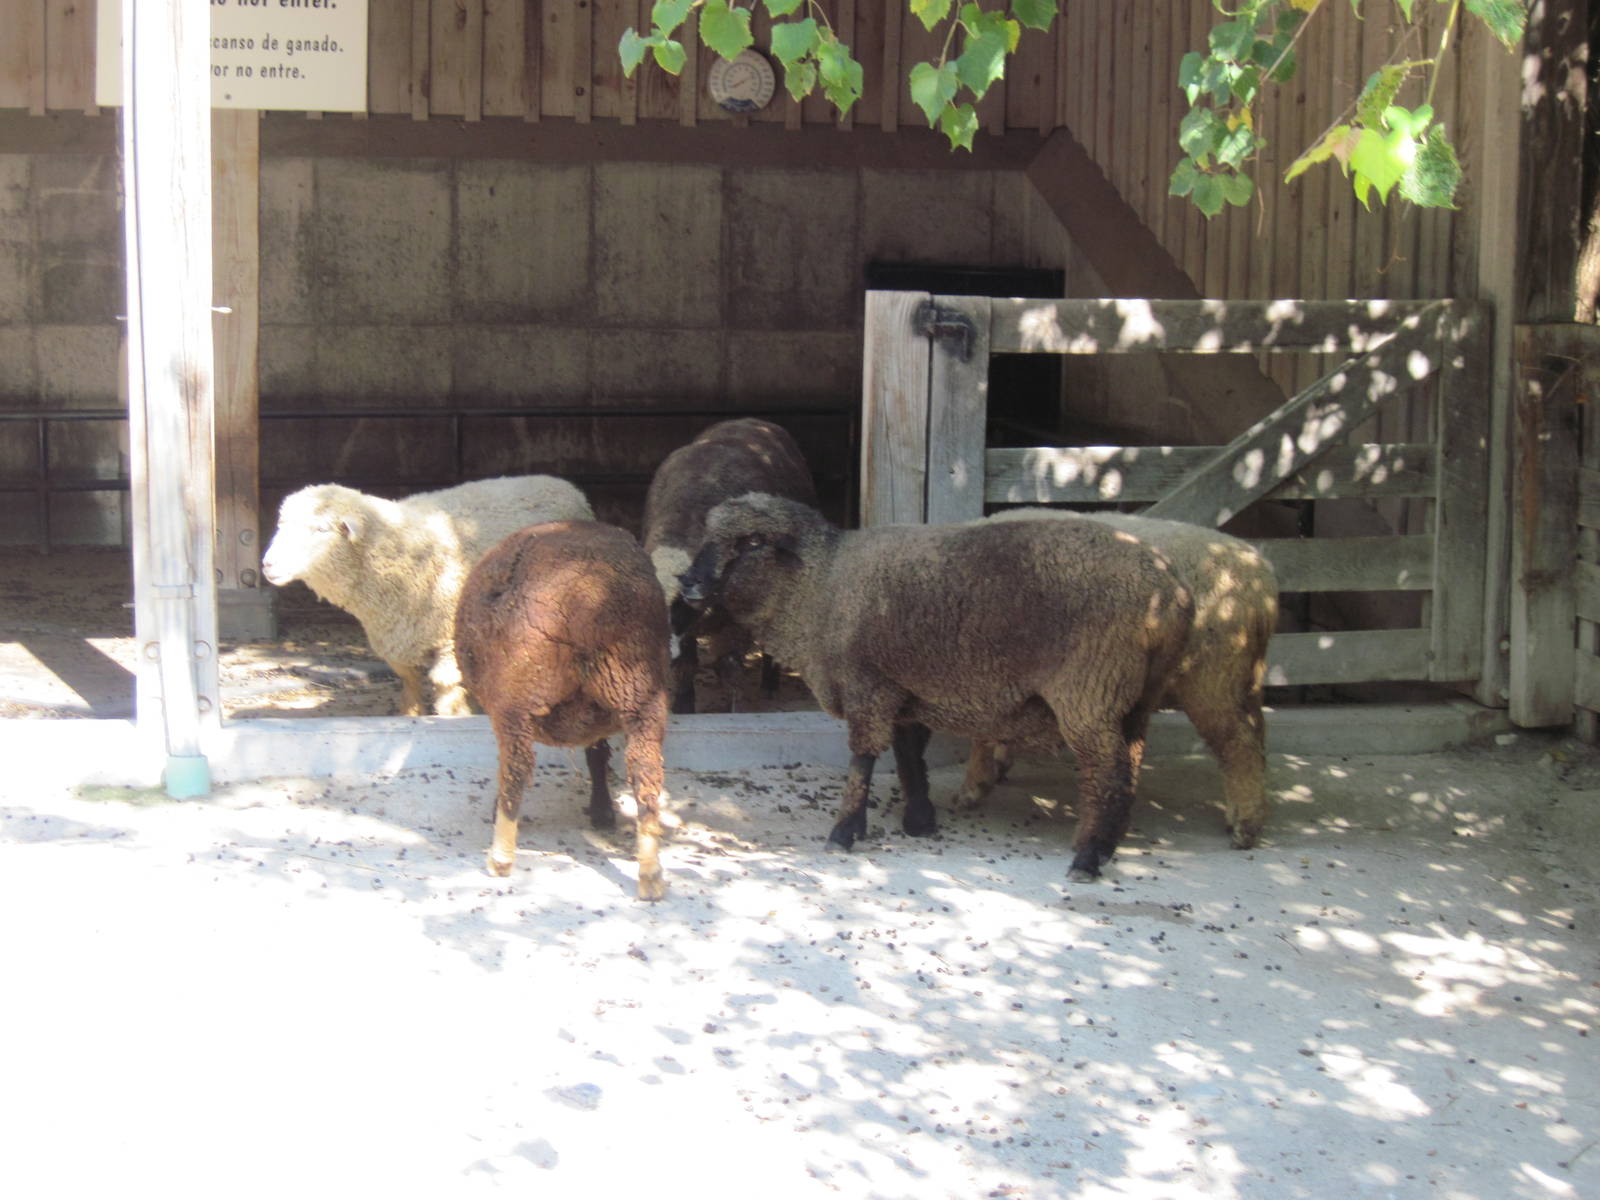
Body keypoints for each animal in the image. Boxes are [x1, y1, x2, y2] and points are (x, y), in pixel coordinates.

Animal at [261, 475, 593, 717]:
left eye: (320, 529)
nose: (267, 564)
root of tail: (565, 485)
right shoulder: (397, 637)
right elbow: (409, 680)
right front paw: (410, 714)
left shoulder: (447, 639)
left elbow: (445, 685)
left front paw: (454, 715)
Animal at [454, 519, 672, 901]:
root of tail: (590, 598)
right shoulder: (597, 719)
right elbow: (597, 756)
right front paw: (602, 811)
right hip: (640, 690)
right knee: (645, 771)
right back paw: (650, 875)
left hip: (517, 695)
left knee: (515, 768)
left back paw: (500, 856)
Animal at [642, 418, 819, 713]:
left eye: (677, 606)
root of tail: (753, 421)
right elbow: (688, 663)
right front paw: (683, 705)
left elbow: (731, 664)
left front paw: (734, 708)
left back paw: (769, 683)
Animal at [679, 494, 1194, 881]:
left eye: (753, 541)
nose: (688, 582)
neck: (820, 585)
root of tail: (1173, 592)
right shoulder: (902, 689)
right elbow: (909, 758)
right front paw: (919, 822)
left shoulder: (867, 686)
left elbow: (862, 760)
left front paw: (845, 830)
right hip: (1135, 698)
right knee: (1130, 763)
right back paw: (1106, 845)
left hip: (1090, 690)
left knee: (1107, 771)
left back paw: (1088, 858)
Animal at [961, 509, 1279, 850]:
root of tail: (1262, 581)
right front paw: (996, 765)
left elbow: (981, 732)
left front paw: (976, 784)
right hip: (1244, 677)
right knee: (1256, 737)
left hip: (1212, 677)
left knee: (1238, 744)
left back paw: (1245, 827)